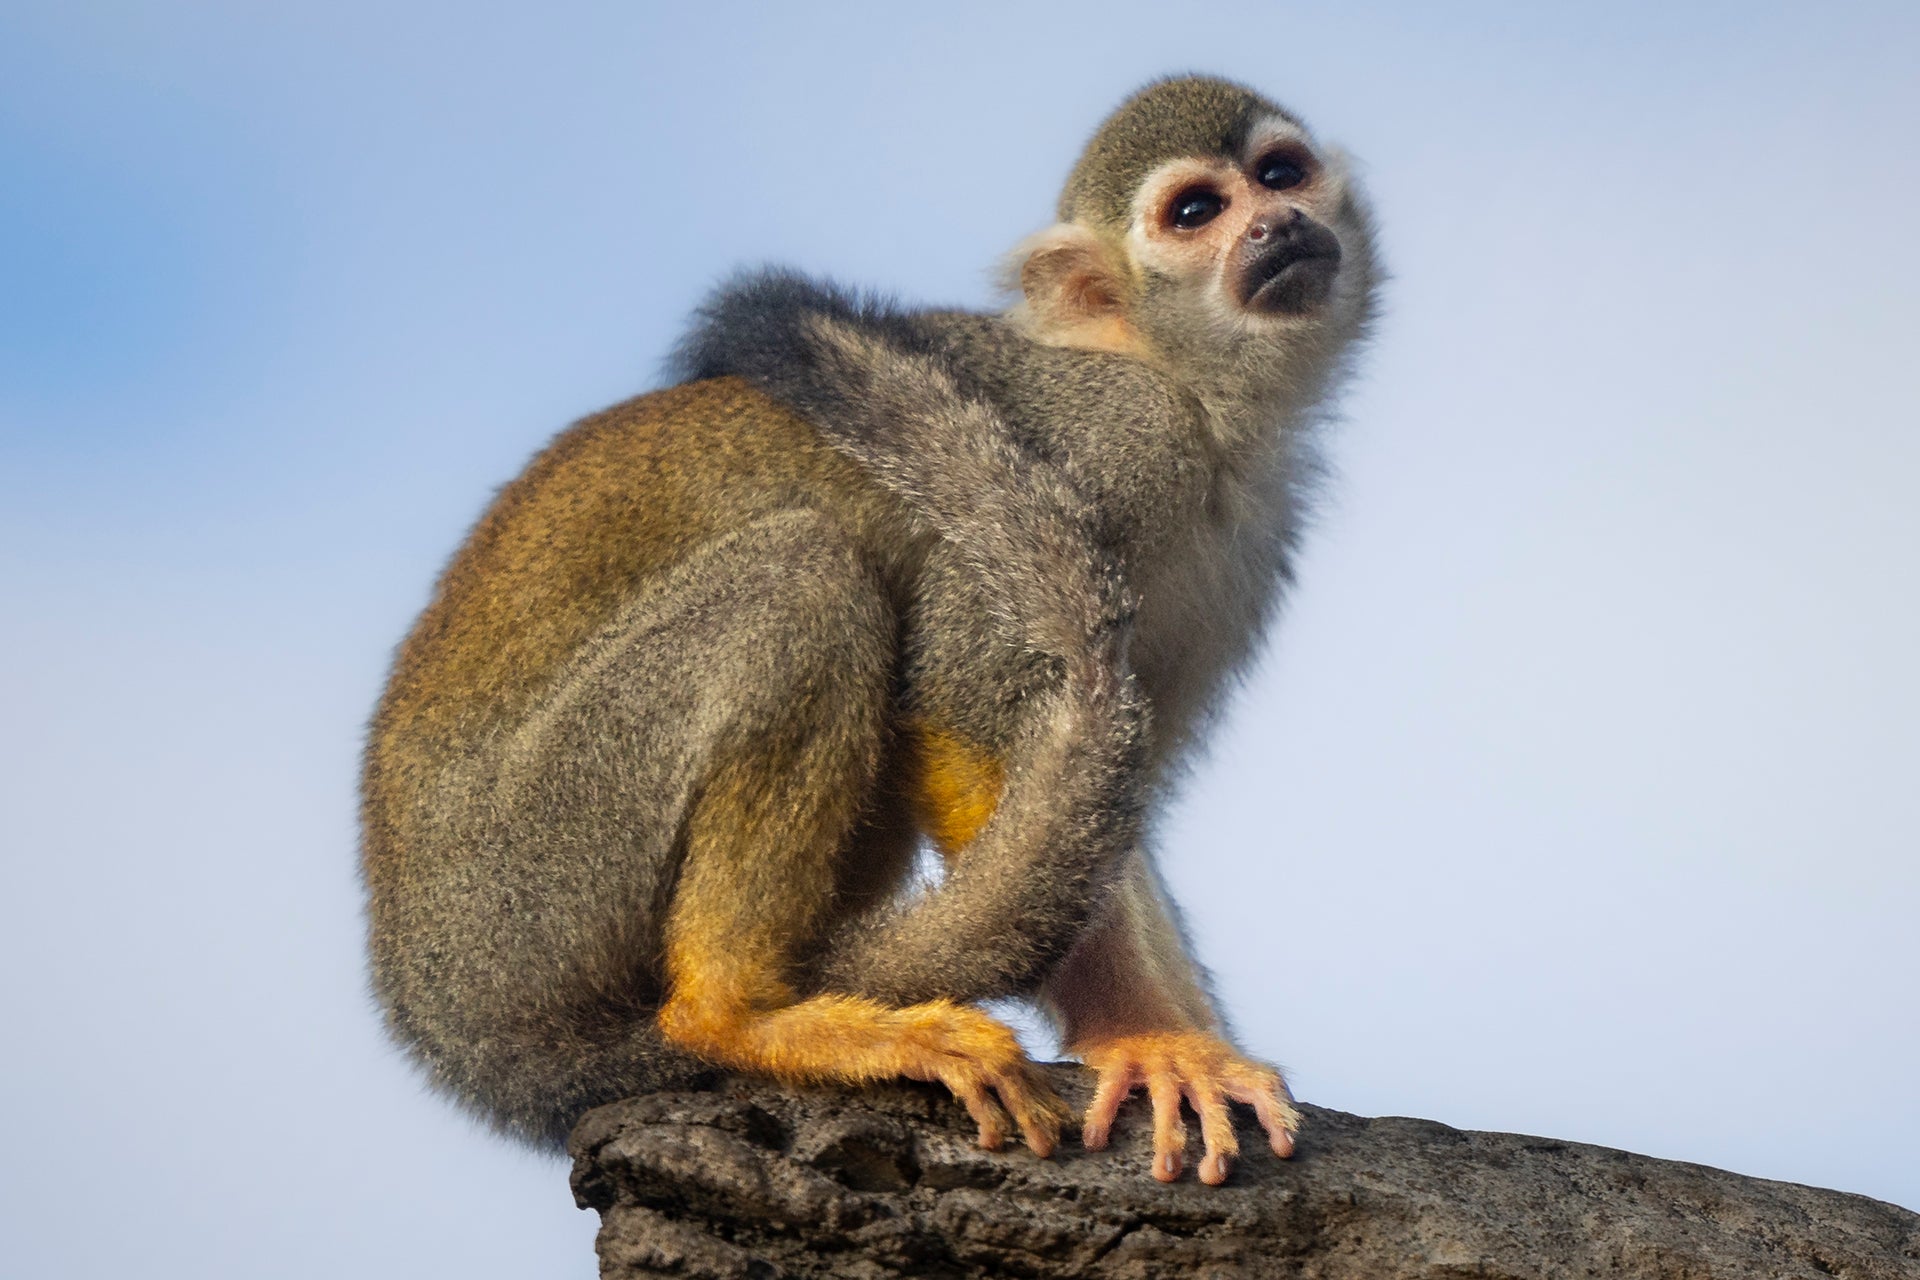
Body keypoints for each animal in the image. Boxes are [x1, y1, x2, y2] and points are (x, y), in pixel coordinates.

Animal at [360, 74, 1380, 1187]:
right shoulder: (1120, 442)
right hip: (532, 869)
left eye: (1280, 173)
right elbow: (968, 696)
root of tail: (454, 1032)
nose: (1278, 224)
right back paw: (738, 1015)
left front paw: (1193, 1042)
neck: (1183, 387)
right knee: (803, 578)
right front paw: (1143, 1041)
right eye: (1195, 212)